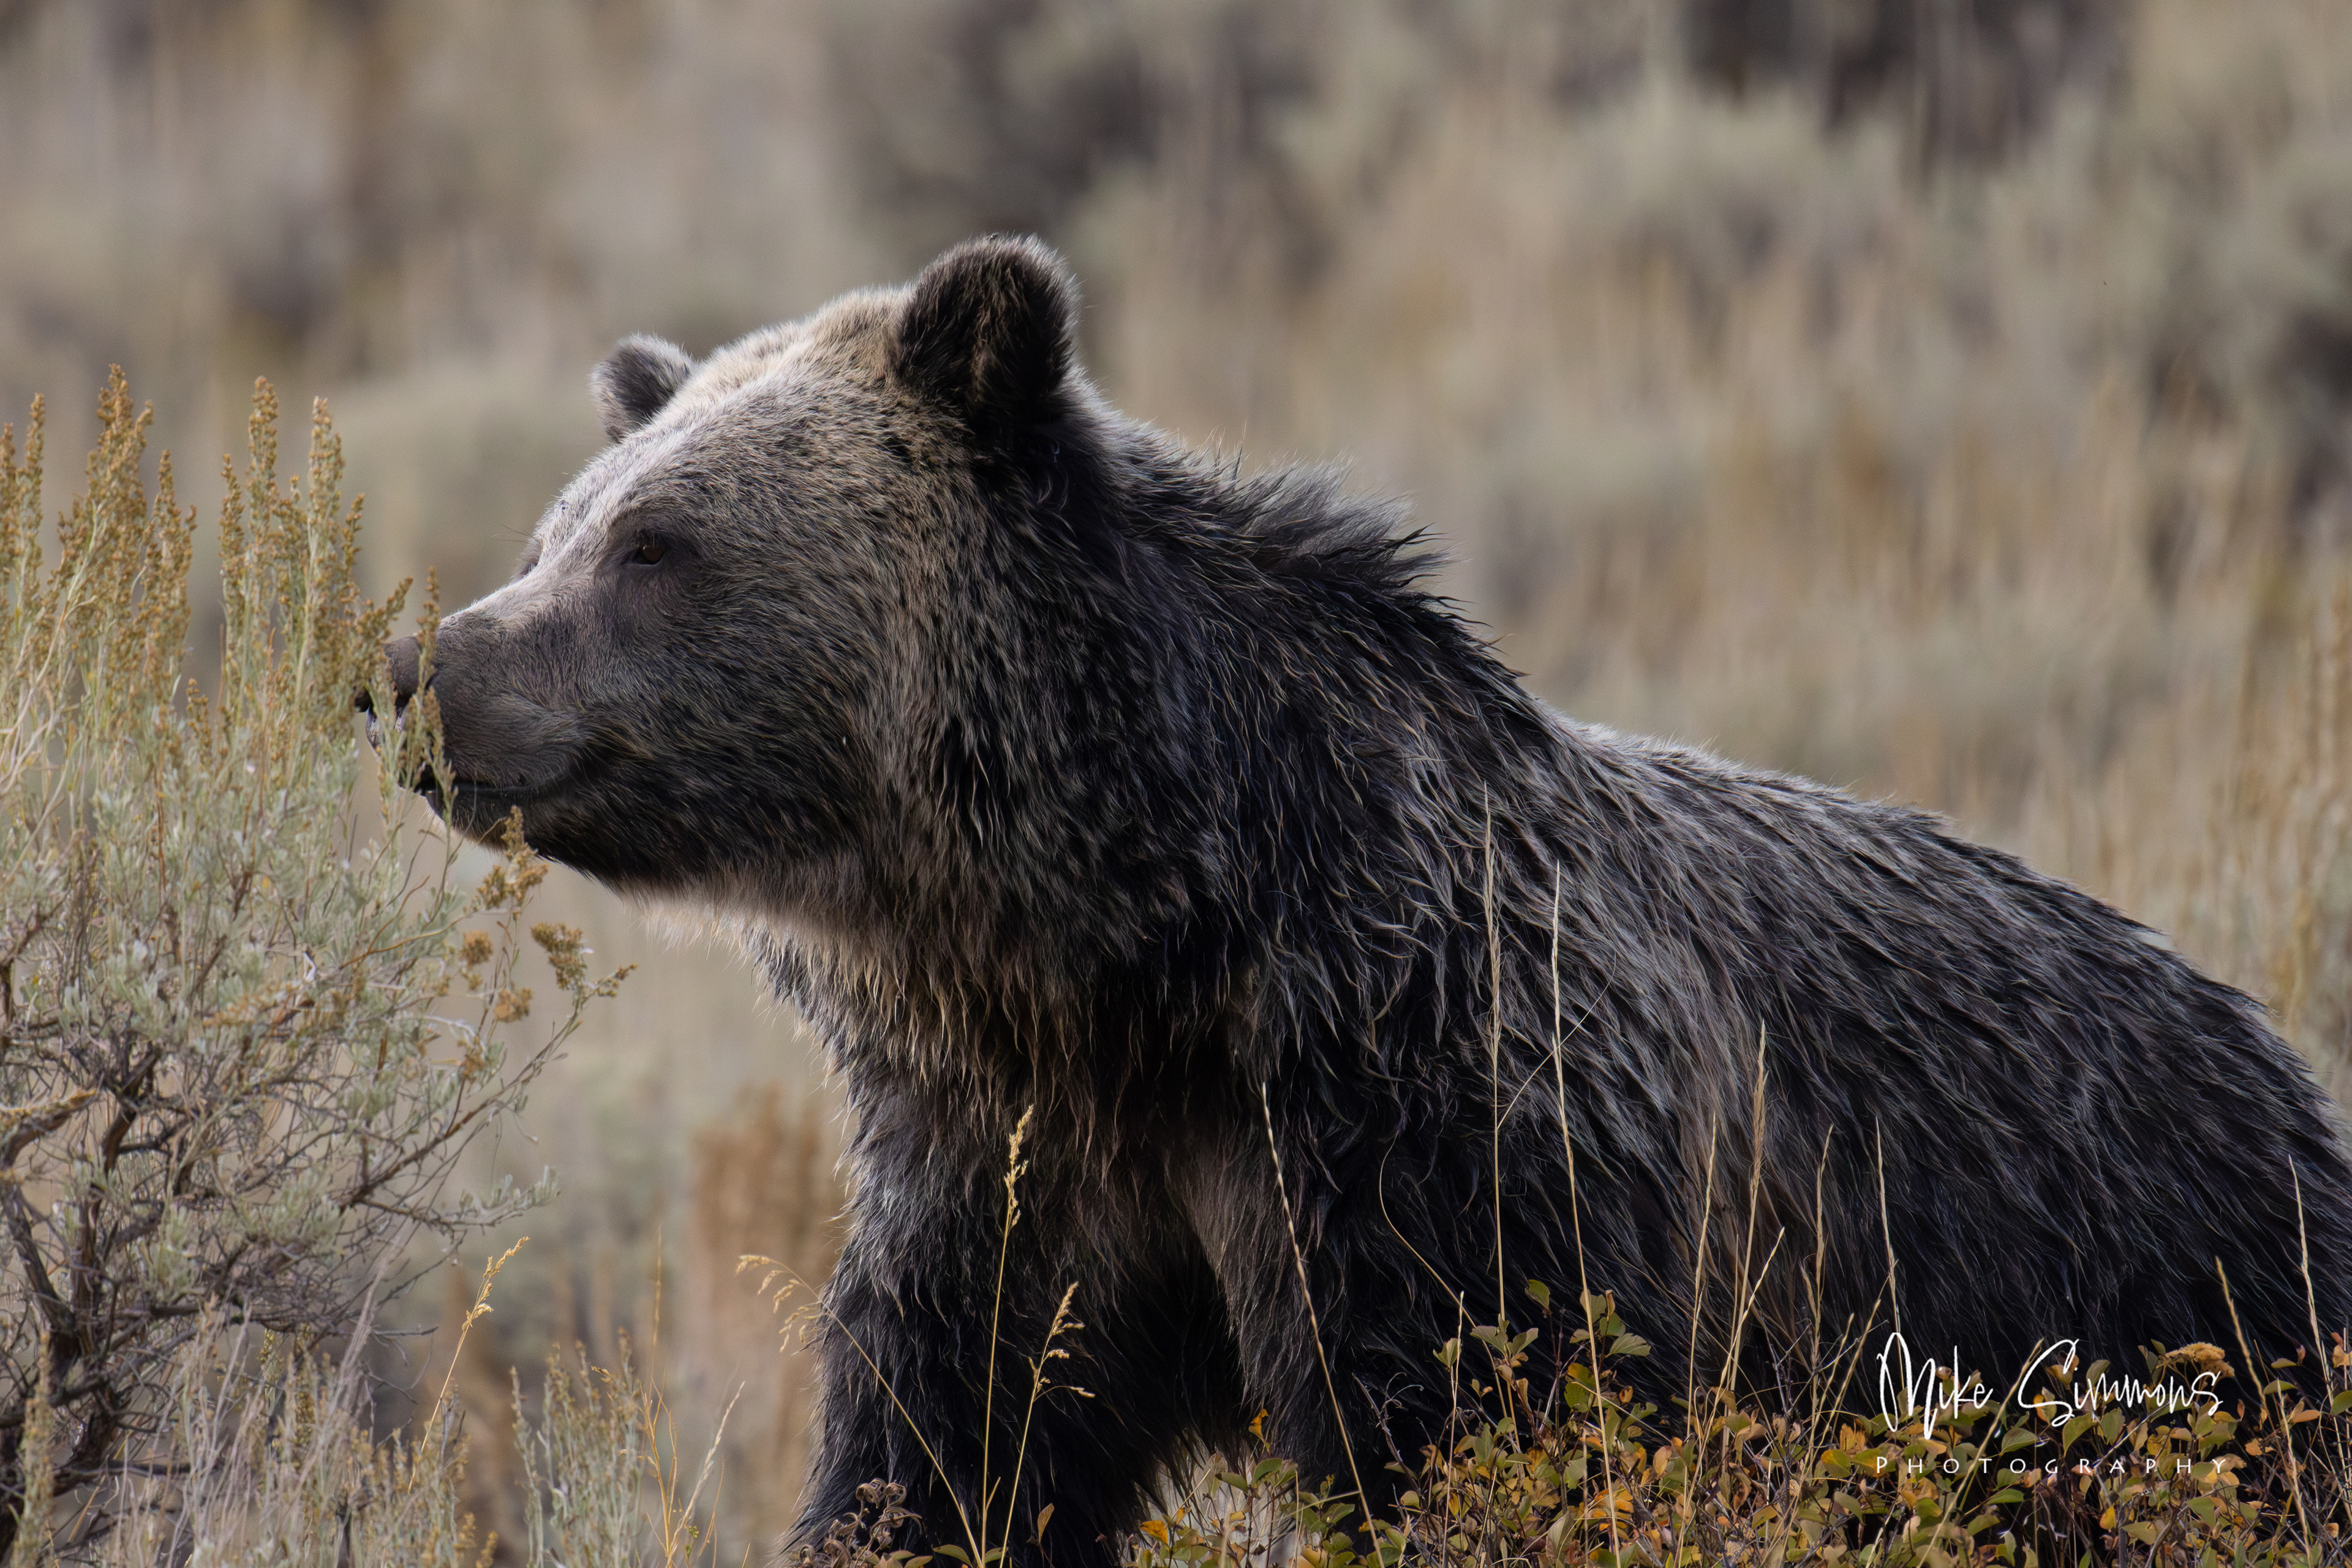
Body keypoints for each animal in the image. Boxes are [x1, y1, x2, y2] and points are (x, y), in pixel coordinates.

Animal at [372, 235, 2352, 1566]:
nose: (423, 665)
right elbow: (944, 1454)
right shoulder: (1010, 1175)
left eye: (657, 544)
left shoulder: (1443, 1152)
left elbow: (1478, 1437)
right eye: (562, 525)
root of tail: (2272, 1054)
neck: (1141, 956)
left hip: (2163, 1312)